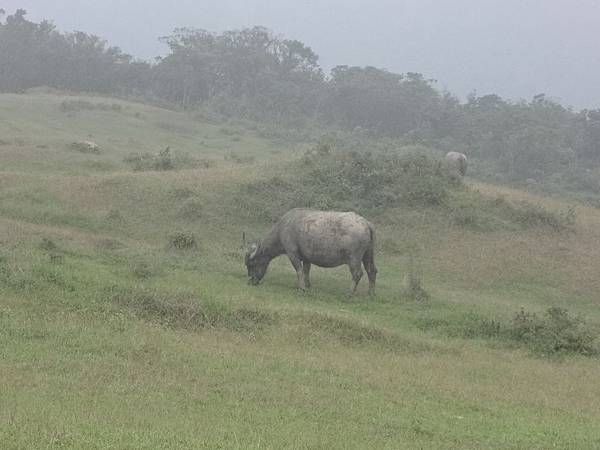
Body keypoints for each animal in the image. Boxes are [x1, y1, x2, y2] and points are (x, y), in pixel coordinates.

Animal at [243, 210, 376, 298]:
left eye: (251, 264)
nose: (250, 281)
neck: (282, 229)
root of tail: (366, 223)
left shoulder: (292, 252)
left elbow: (299, 270)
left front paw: (301, 288)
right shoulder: (307, 257)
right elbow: (306, 270)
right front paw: (308, 286)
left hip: (354, 258)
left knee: (357, 273)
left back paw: (349, 293)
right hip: (368, 255)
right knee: (372, 270)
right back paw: (371, 293)